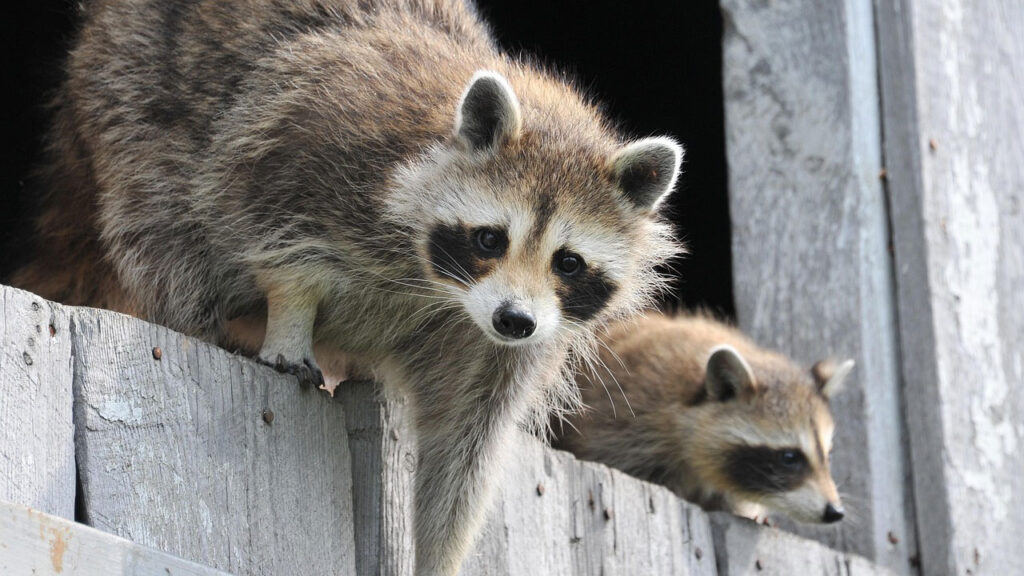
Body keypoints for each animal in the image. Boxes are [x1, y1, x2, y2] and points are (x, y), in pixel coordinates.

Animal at [13, 1, 683, 574]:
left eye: (568, 262)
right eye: (491, 239)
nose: (514, 319)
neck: (439, 287)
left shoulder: (503, 345)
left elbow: (464, 450)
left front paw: (438, 554)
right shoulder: (316, 144)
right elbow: (275, 233)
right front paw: (290, 317)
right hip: (128, 88)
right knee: (161, 222)